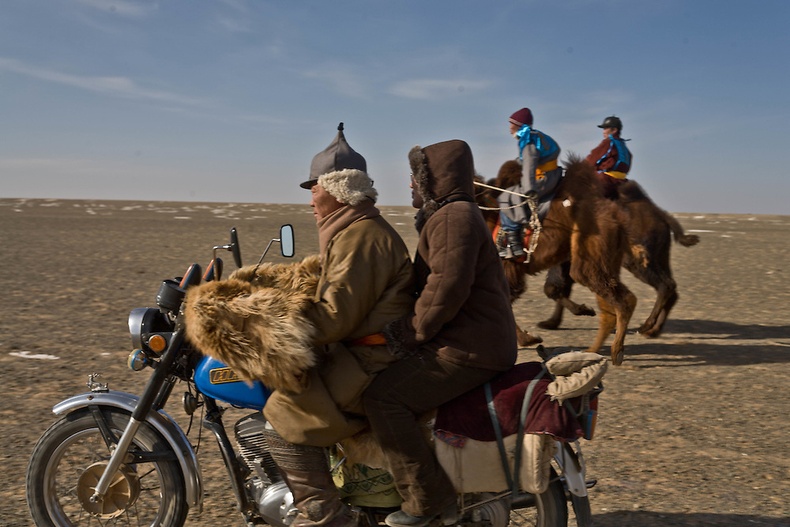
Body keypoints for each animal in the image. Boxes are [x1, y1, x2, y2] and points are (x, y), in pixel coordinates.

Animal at [480, 155, 640, 366]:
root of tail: (617, 218)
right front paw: (581, 310)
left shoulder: (507, 269)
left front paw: (529, 339)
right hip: (604, 259)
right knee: (610, 303)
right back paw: (595, 349)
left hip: (589, 257)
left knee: (621, 299)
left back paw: (616, 351)